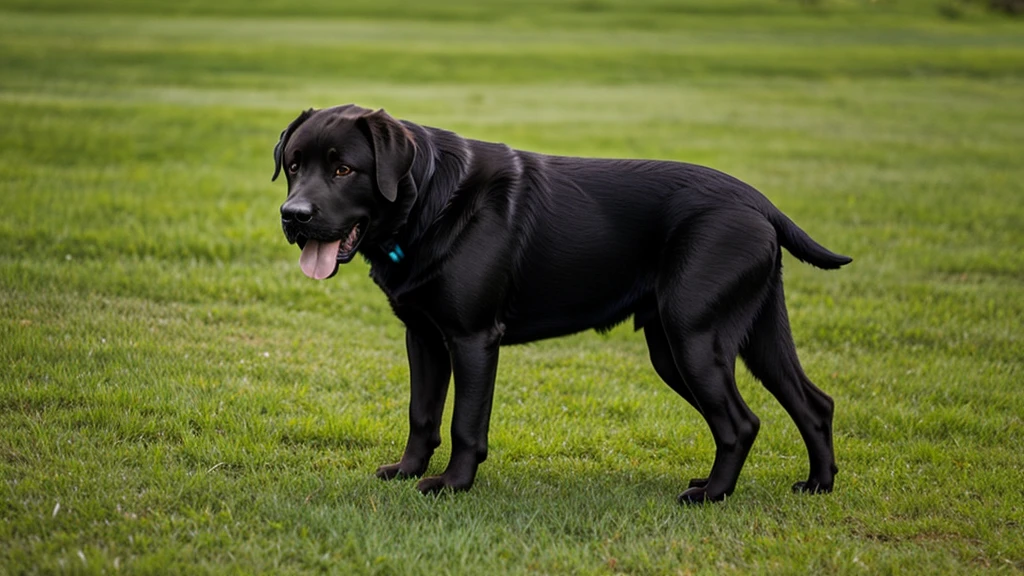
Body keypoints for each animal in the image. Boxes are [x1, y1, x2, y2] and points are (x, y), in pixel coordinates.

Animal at [270, 104, 847, 502]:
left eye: (344, 170)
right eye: (294, 165)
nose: (293, 215)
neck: (429, 199)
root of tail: (759, 203)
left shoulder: (473, 339)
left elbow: (463, 424)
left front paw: (452, 485)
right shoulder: (424, 336)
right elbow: (422, 414)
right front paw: (407, 471)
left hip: (693, 337)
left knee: (740, 422)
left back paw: (710, 496)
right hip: (735, 338)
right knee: (813, 404)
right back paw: (816, 486)